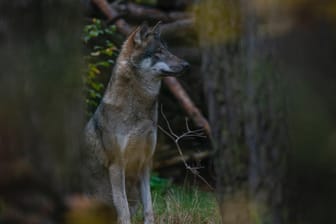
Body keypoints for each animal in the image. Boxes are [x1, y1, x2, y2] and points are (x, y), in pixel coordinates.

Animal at [83, 21, 190, 224]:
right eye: (158, 52)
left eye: (167, 50)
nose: (187, 64)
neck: (140, 112)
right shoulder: (117, 165)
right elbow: (123, 209)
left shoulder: (146, 163)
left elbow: (149, 208)